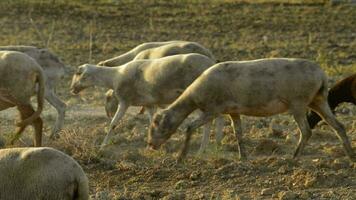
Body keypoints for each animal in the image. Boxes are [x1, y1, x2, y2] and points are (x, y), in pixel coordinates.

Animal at [71, 53, 224, 150]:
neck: (114, 76)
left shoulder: (125, 101)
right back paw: (217, 143)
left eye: (78, 74)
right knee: (219, 116)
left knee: (210, 120)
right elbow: (151, 122)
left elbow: (113, 124)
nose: (72, 89)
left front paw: (102, 146)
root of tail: (211, 64)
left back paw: (204, 146)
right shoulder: (149, 104)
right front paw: (151, 145)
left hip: (199, 96)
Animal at [148, 57, 356, 162]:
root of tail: (322, 75)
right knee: (338, 126)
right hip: (318, 100)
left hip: (298, 102)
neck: (193, 96)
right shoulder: (232, 110)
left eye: (154, 126)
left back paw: (293, 157)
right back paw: (350, 156)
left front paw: (180, 158)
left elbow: (189, 127)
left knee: (306, 131)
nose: (150, 145)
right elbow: (238, 133)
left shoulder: (214, 109)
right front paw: (243, 157)